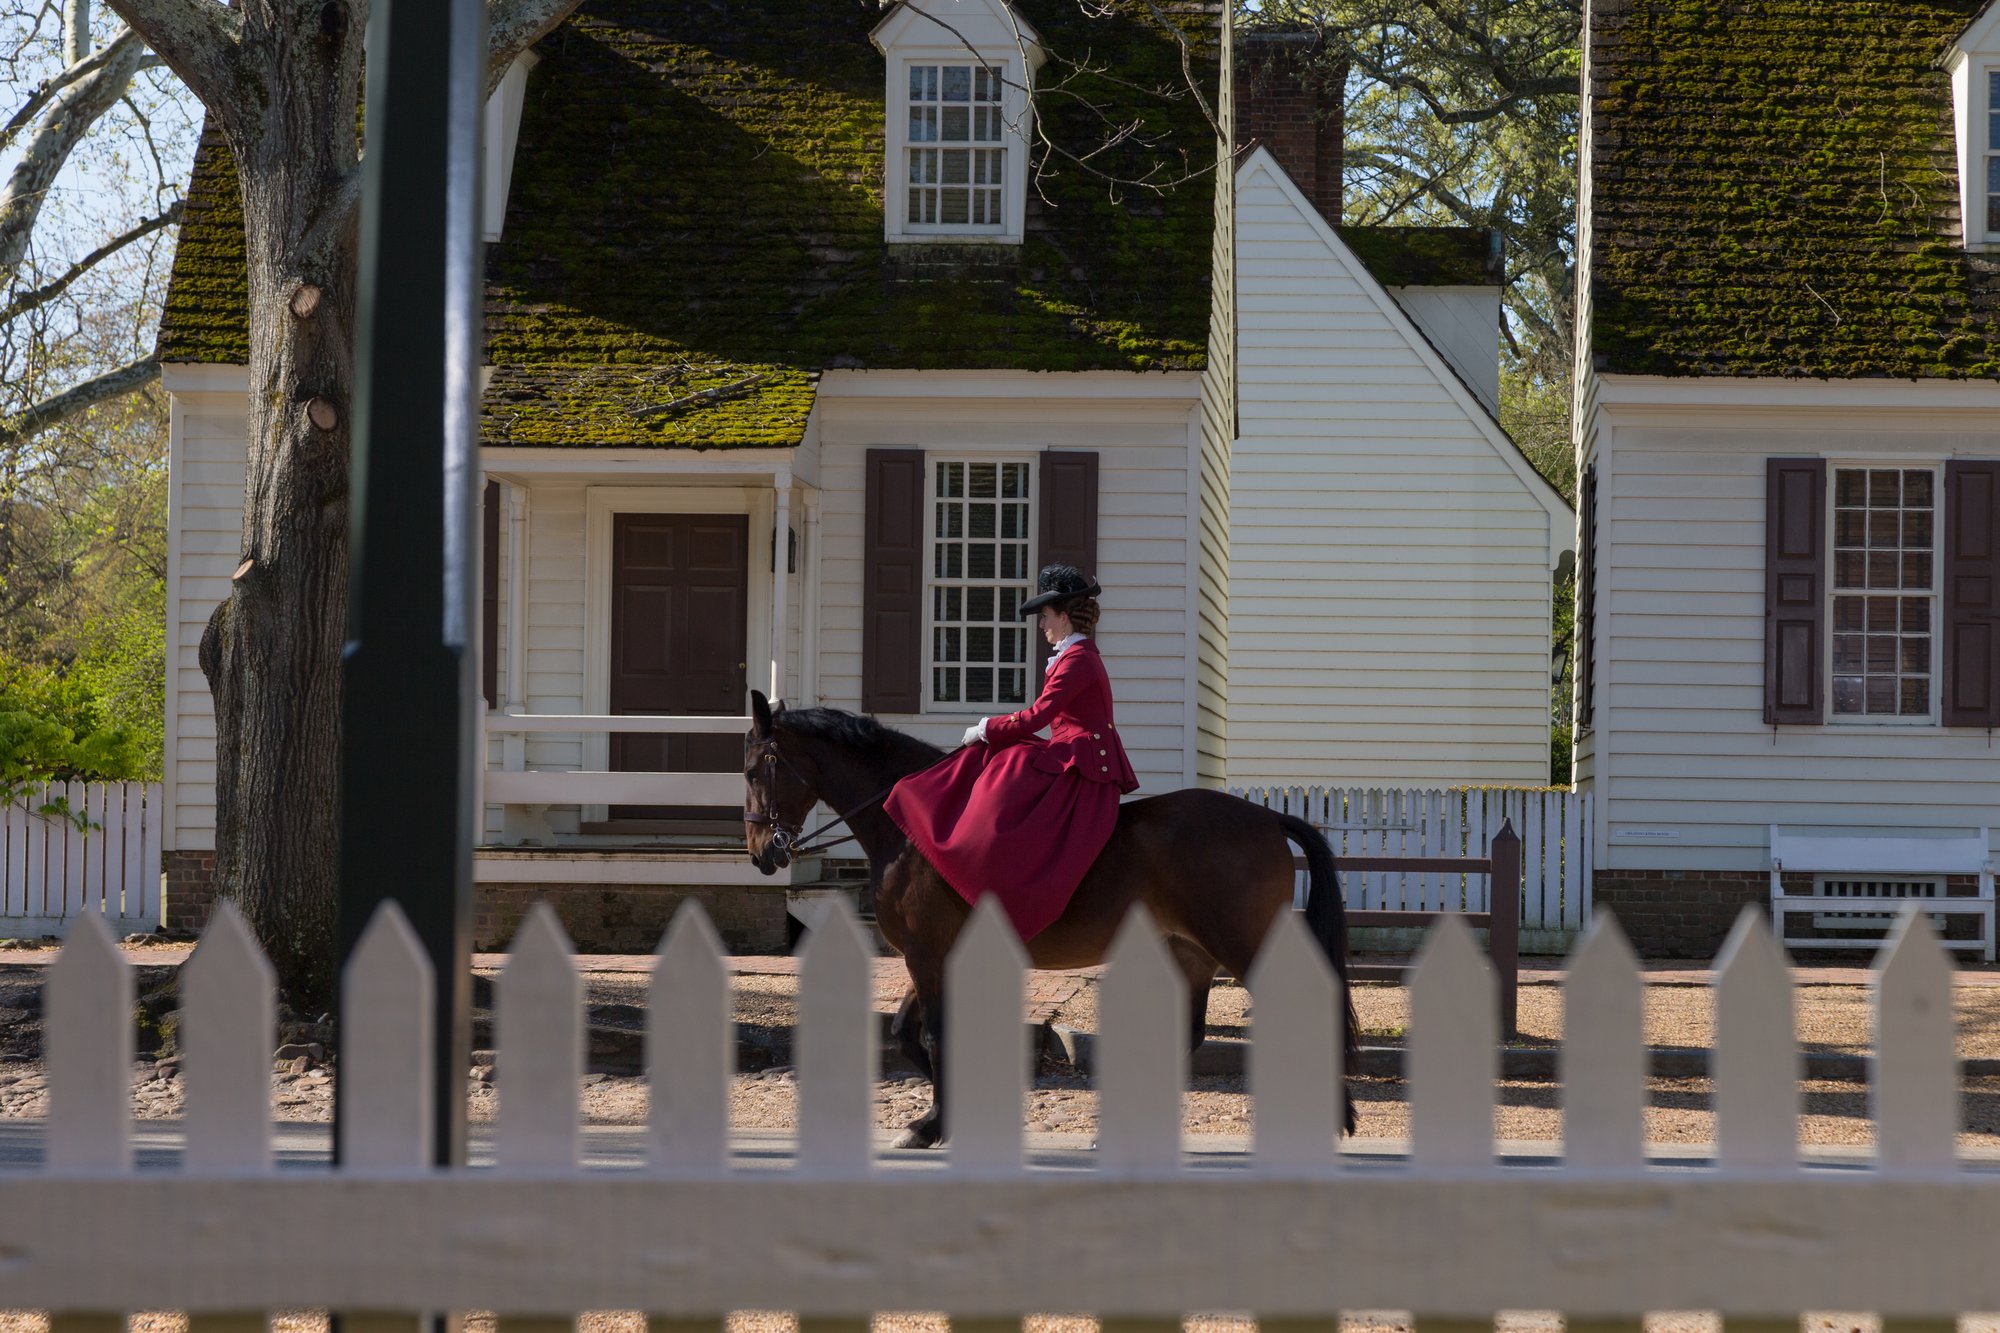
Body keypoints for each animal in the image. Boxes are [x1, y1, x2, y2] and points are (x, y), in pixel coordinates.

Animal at [744, 684, 1368, 1144]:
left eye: (752, 771)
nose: (761, 854)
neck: (906, 828)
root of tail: (1265, 818)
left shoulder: (926, 952)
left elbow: (935, 1035)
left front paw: (933, 1125)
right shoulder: (931, 955)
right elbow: (904, 1033)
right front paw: (943, 1115)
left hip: (1241, 942)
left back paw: (1334, 1117)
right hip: (1192, 952)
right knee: (1188, 1034)